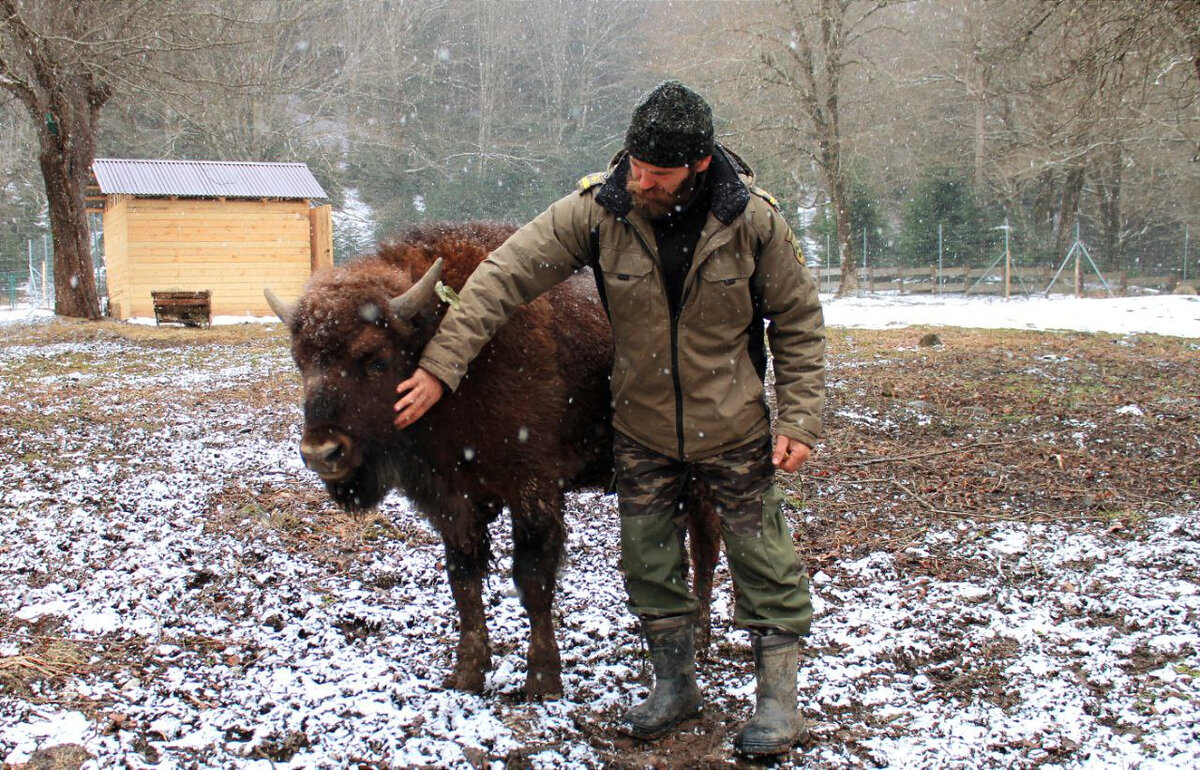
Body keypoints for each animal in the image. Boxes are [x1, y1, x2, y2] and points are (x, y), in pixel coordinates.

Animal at [266, 220, 710, 695]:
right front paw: (467, 671)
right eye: (301, 363)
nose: (322, 453)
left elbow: (532, 578)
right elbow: (464, 579)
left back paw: (702, 638)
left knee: (706, 544)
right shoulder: (452, 500)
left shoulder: (533, 490)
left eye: (377, 360)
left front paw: (542, 678)